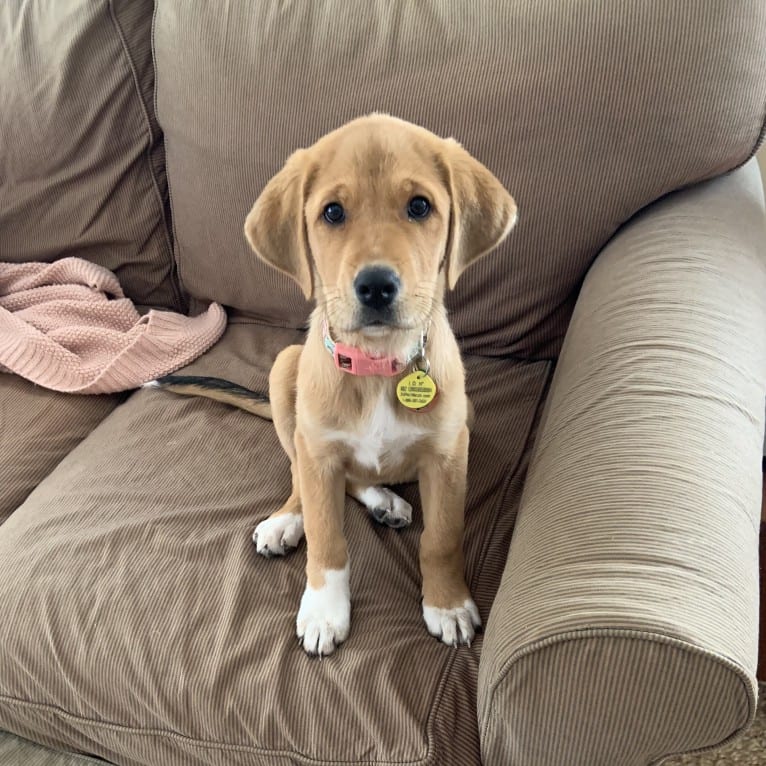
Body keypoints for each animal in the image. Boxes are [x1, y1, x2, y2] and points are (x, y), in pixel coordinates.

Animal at [160, 115, 520, 660]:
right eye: (332, 212)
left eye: (420, 206)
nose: (376, 286)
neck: (377, 364)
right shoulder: (320, 453)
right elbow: (327, 537)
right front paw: (324, 611)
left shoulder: (448, 454)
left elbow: (441, 538)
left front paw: (448, 604)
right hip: (285, 374)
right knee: (302, 478)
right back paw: (290, 519)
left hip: (466, 414)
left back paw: (385, 502)